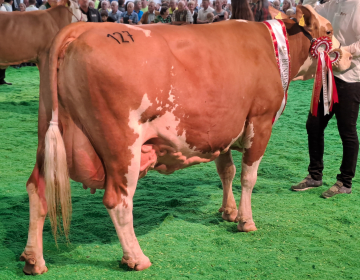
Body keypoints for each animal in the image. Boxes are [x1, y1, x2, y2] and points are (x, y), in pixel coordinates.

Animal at [19, 5, 348, 274]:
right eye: (329, 32)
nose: (345, 55)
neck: (274, 50)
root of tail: (80, 30)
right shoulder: (260, 121)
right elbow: (248, 177)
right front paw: (246, 221)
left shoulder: (222, 126)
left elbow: (226, 171)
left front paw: (228, 212)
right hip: (122, 146)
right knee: (118, 201)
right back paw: (136, 258)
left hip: (48, 136)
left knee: (37, 188)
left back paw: (34, 259)